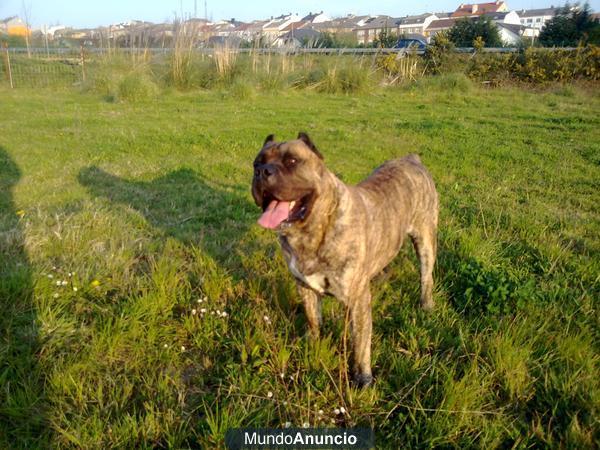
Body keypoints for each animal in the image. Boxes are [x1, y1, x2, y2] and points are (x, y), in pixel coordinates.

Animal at [251, 131, 438, 386]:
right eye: (256, 163)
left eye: (292, 161)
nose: (262, 171)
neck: (313, 229)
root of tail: (412, 159)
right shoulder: (304, 287)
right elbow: (313, 318)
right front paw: (312, 342)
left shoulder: (357, 301)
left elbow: (360, 343)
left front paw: (363, 378)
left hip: (425, 241)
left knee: (426, 276)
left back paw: (426, 306)